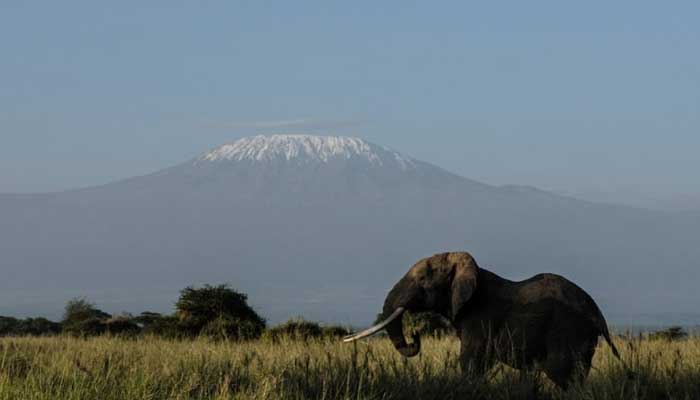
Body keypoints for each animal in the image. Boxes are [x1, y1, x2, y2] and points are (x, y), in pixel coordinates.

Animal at [344, 253, 616, 388]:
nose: (416, 335)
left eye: (422, 279)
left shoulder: (481, 317)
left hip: (568, 331)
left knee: (562, 375)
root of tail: (598, 313)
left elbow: (470, 362)